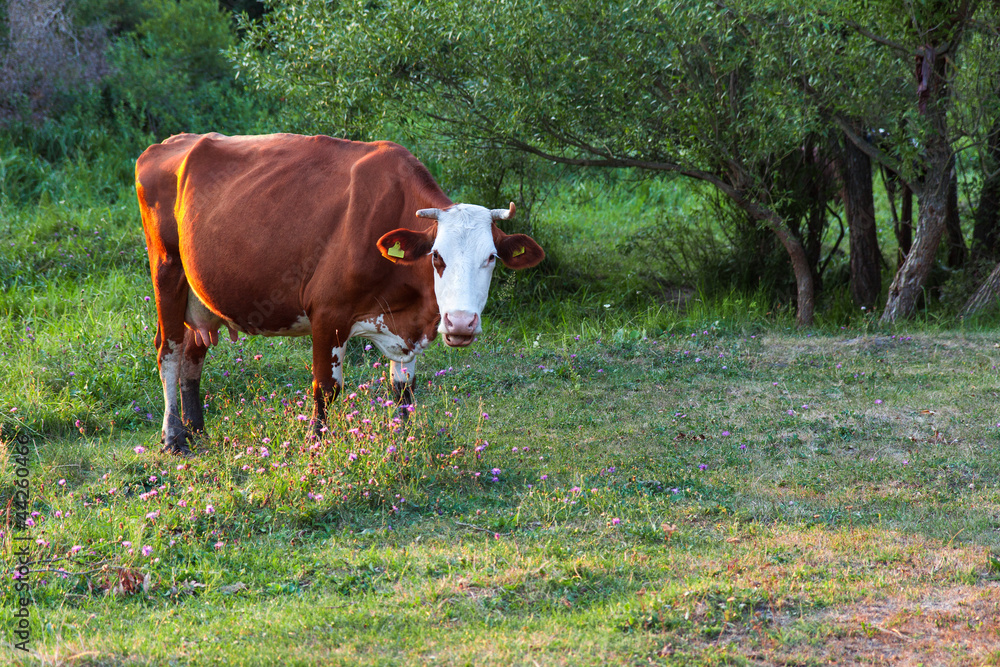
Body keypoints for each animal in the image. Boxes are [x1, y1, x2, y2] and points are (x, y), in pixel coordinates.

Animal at [136, 134, 544, 460]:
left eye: (490, 258)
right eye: (437, 257)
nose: (460, 322)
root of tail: (171, 142)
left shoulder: (405, 329)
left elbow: (404, 391)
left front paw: (404, 443)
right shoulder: (327, 315)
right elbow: (326, 388)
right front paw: (317, 446)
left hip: (199, 294)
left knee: (193, 353)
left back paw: (197, 431)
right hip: (167, 270)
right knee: (169, 351)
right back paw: (174, 438)